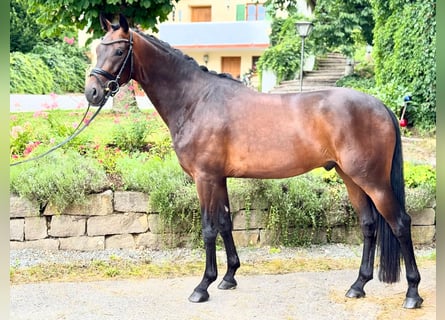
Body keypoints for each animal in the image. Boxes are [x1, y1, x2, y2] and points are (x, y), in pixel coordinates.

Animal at [85, 13, 422, 308]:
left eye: (118, 50)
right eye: (96, 48)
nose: (92, 92)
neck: (196, 101)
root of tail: (380, 105)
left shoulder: (204, 178)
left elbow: (208, 228)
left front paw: (202, 287)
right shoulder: (218, 178)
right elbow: (225, 223)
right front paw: (229, 277)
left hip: (373, 181)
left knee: (400, 223)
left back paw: (412, 294)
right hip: (350, 177)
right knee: (369, 225)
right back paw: (358, 286)